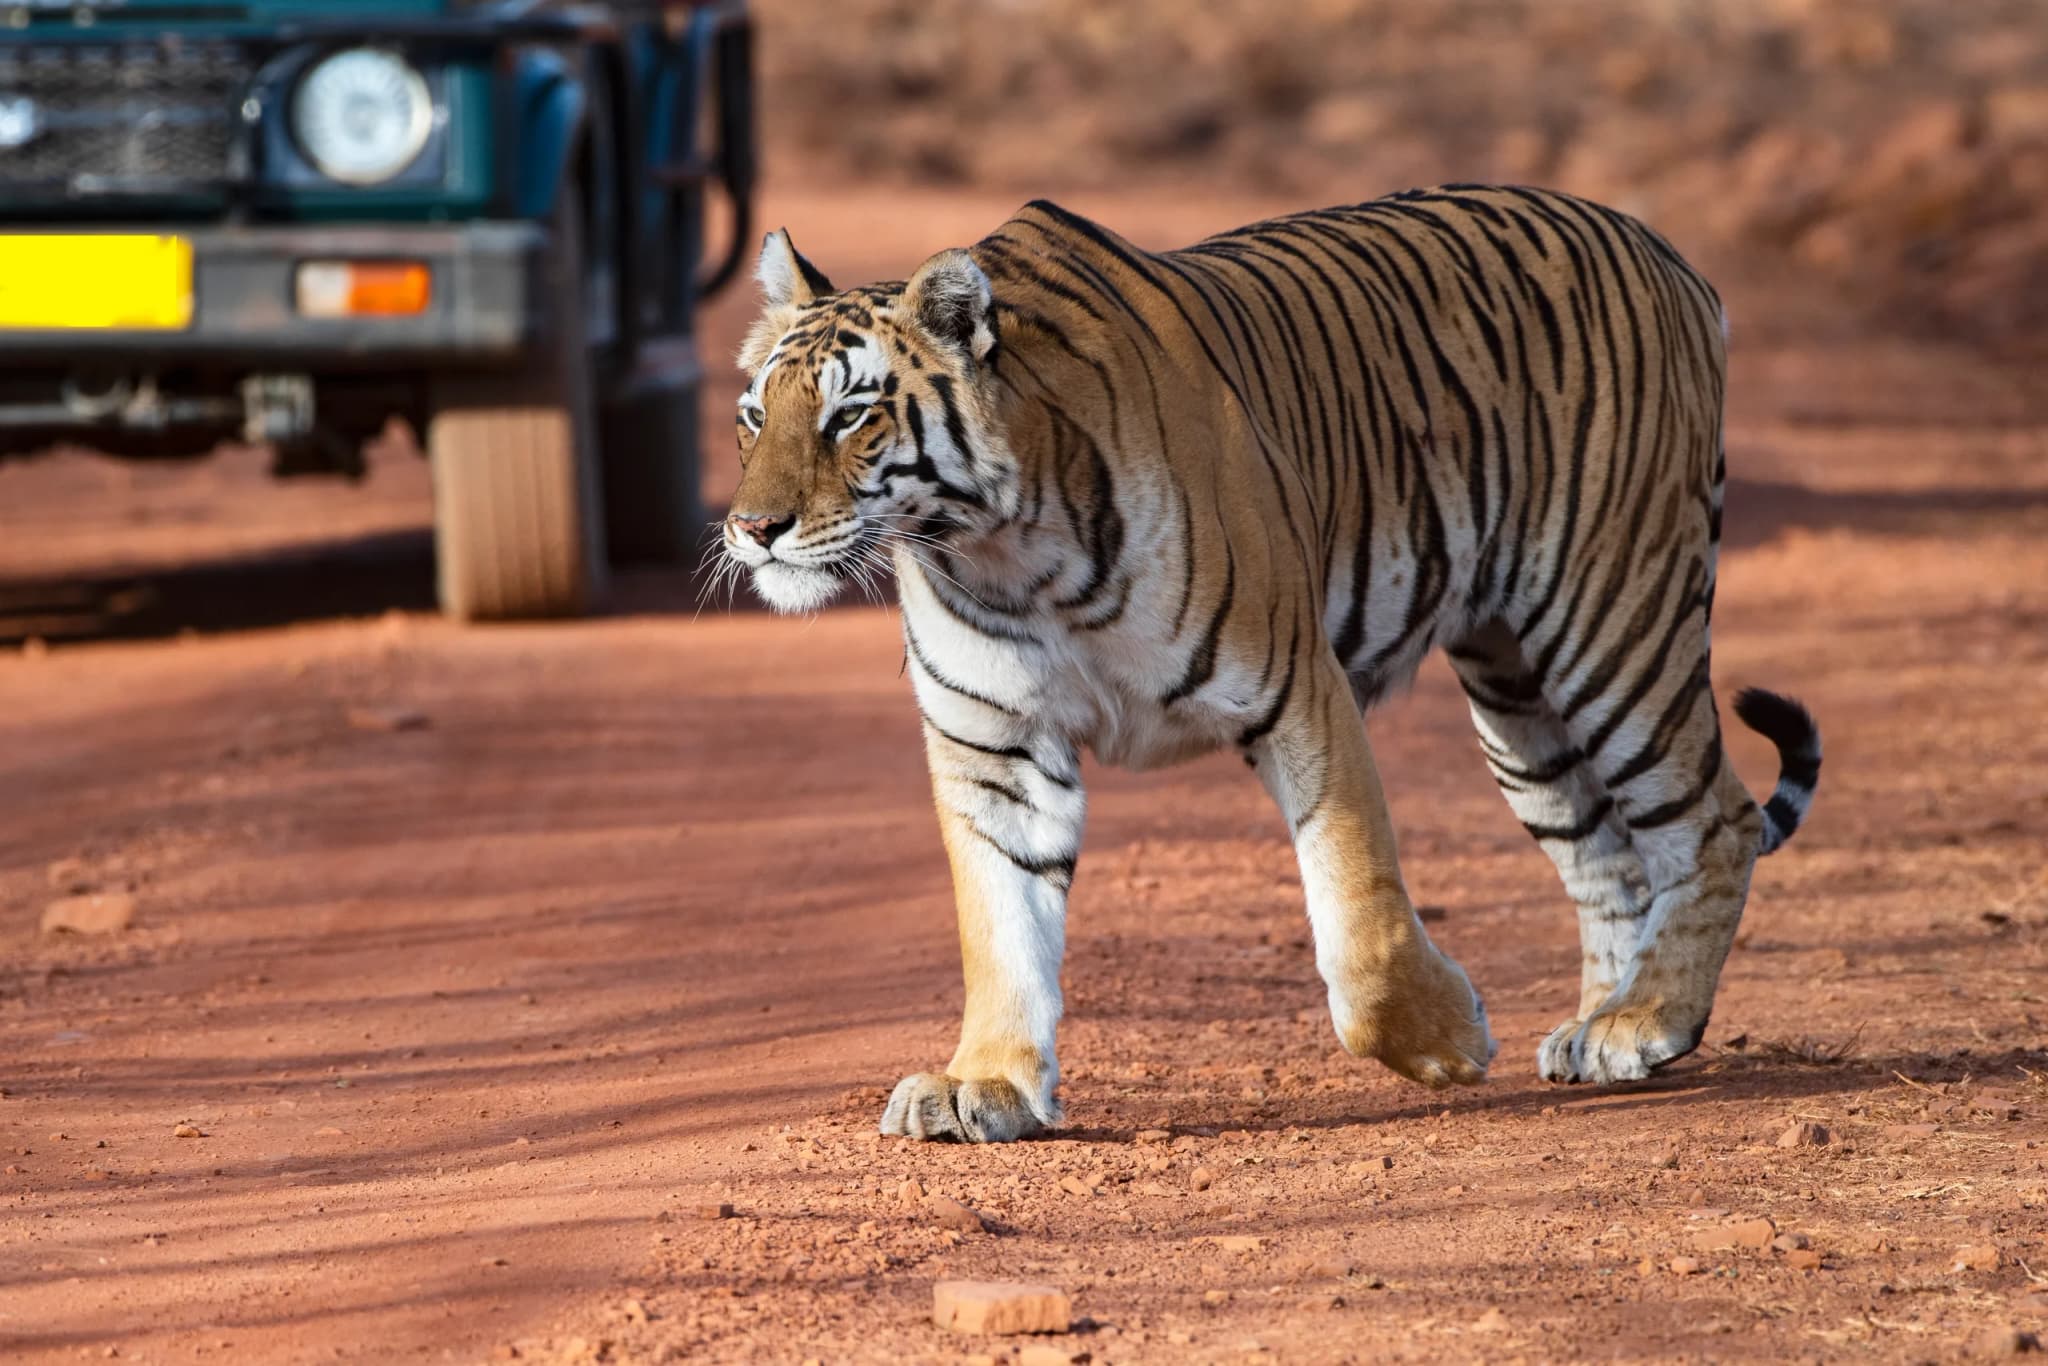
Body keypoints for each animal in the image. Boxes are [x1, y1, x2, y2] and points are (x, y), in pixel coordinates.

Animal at [721, 185, 1822, 1143]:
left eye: (850, 415)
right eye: (753, 416)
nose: (752, 529)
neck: (998, 549)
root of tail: (1661, 248)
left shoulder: (1299, 687)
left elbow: (1361, 925)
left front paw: (1450, 1040)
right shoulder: (995, 746)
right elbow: (1001, 921)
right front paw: (984, 1084)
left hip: (1612, 622)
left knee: (1711, 818)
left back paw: (1647, 1020)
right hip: (1517, 697)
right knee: (1605, 858)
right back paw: (1603, 1028)